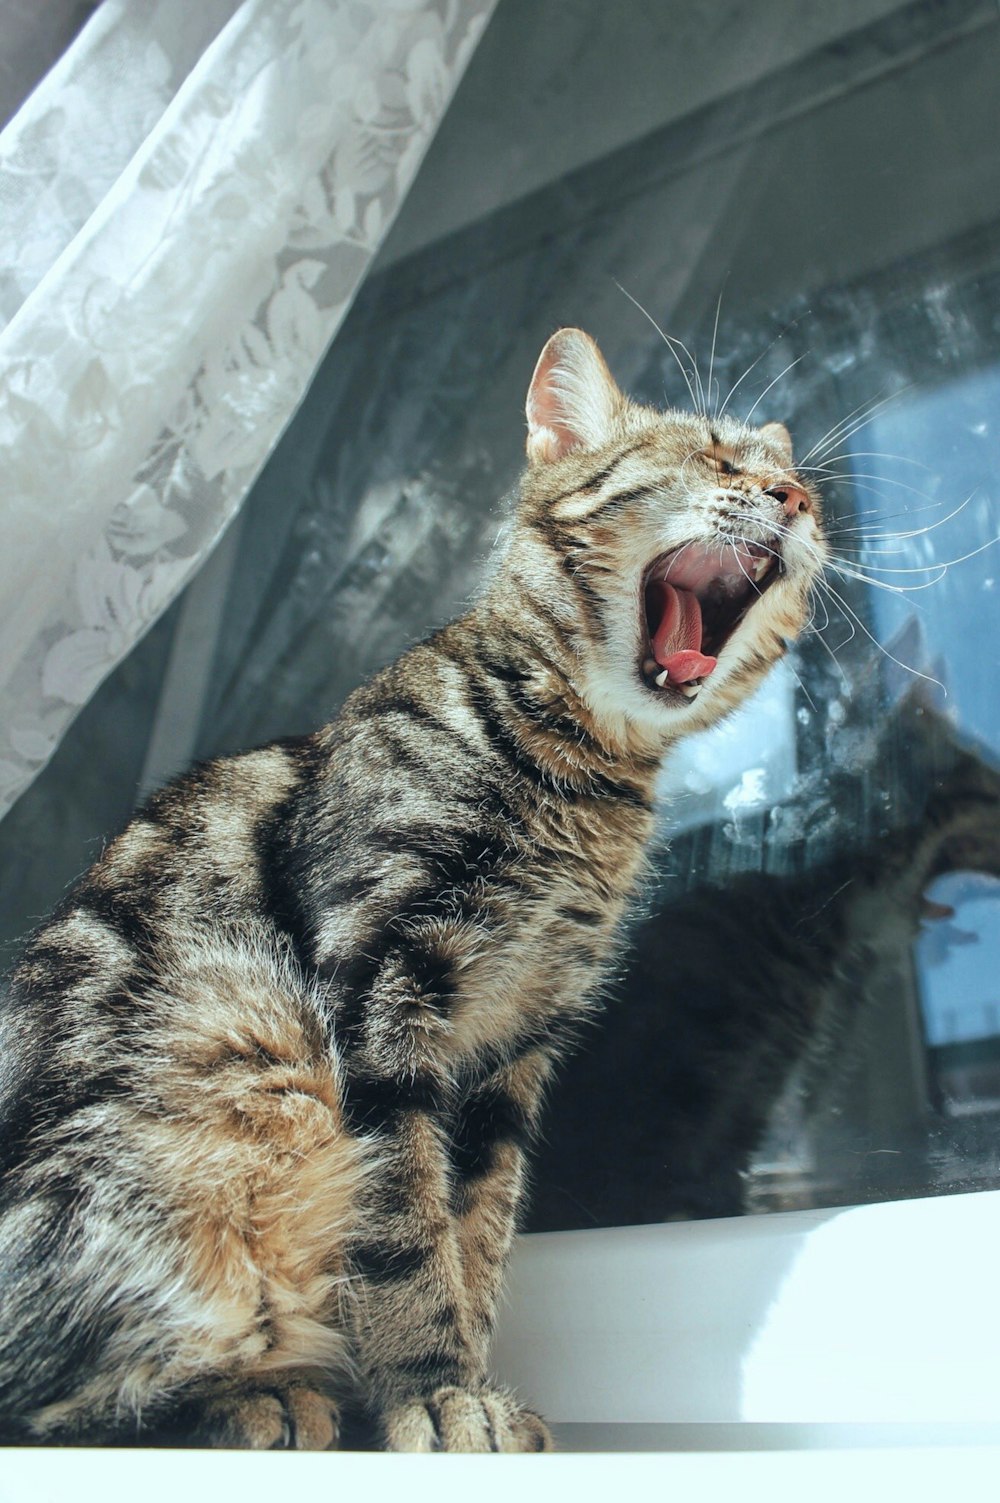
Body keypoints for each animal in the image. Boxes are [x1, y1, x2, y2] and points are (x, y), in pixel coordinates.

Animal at [0, 326, 824, 1442]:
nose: (793, 496)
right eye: (713, 455)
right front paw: (432, 1390)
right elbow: (400, 1228)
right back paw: (257, 1398)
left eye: (804, 487)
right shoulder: (378, 987)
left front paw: (461, 1377)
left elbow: (474, 1232)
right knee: (50, 1395)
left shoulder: (514, 1047)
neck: (577, 778)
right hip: (250, 1099)